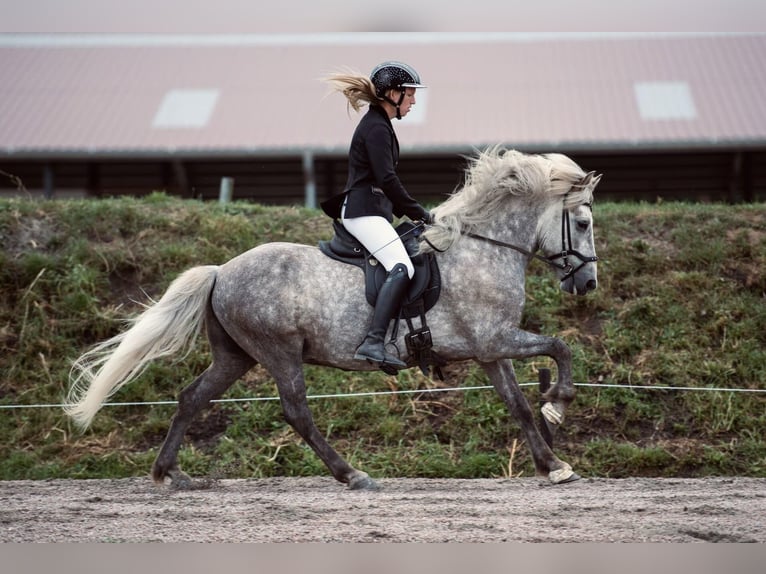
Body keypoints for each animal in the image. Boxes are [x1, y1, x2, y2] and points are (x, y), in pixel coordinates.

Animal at [66, 147, 604, 490]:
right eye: (581, 223)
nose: (587, 284)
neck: (482, 248)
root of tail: (221, 271)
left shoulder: (492, 350)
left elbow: (518, 405)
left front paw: (554, 464)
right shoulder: (495, 340)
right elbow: (560, 347)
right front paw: (559, 404)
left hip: (236, 356)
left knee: (192, 397)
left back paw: (171, 474)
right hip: (280, 351)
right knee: (297, 412)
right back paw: (352, 475)